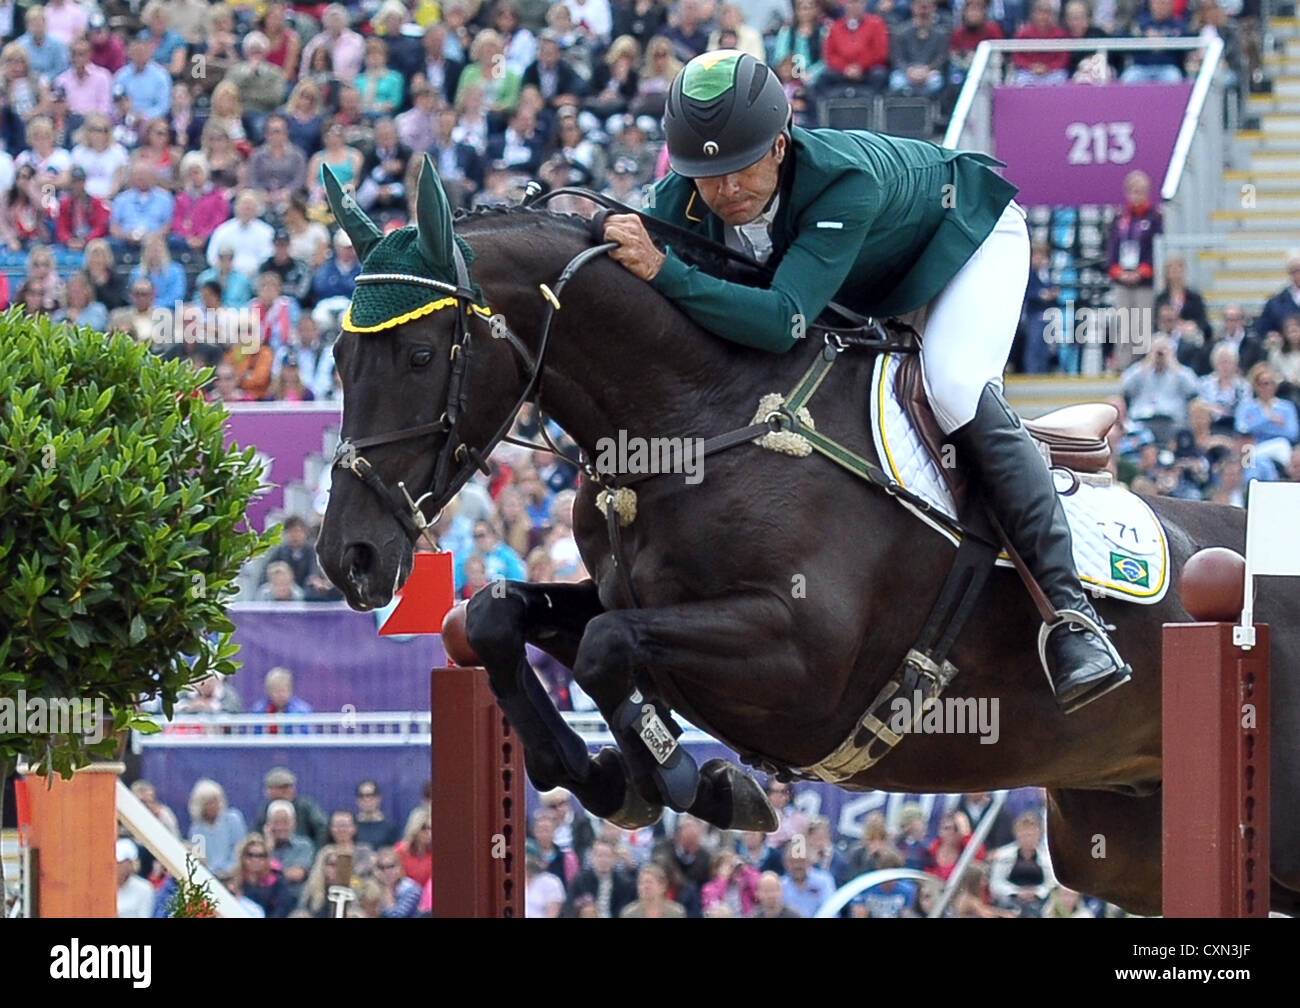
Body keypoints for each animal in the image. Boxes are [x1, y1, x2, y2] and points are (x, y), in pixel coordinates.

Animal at [317, 161, 1300, 920]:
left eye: (418, 357)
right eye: (336, 357)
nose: (347, 559)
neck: (693, 417)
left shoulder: (803, 659)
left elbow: (604, 647)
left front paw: (693, 784)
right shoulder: (632, 598)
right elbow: (497, 617)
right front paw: (602, 776)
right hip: (1122, 840)